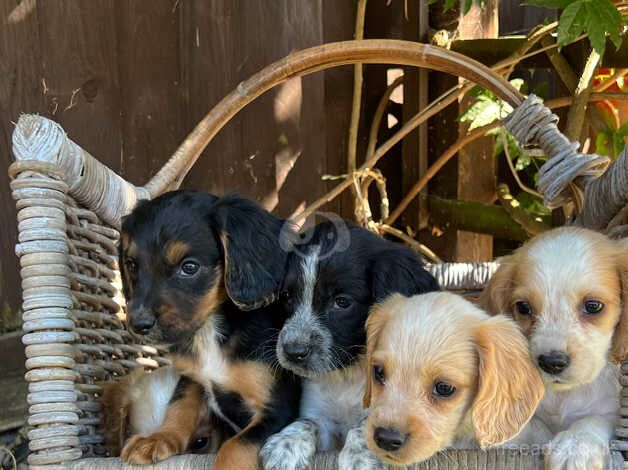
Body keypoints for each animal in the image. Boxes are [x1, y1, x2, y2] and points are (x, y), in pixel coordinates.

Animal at [121, 191, 304, 470]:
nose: (138, 325)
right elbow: (179, 405)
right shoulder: (194, 378)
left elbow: (235, 446)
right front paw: (158, 438)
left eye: (189, 267)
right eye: (131, 265)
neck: (210, 330)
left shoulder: (277, 409)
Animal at [258, 221, 436, 470]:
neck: (348, 374)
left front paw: (360, 458)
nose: (293, 352)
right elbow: (307, 422)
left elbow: (366, 424)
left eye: (342, 302)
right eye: (286, 296)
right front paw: (284, 446)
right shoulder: (320, 414)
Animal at [480, 226, 624, 468]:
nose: (552, 363)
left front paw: (575, 446)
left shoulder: (609, 410)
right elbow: (529, 426)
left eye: (593, 306)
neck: (563, 395)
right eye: (523, 307)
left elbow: (594, 419)